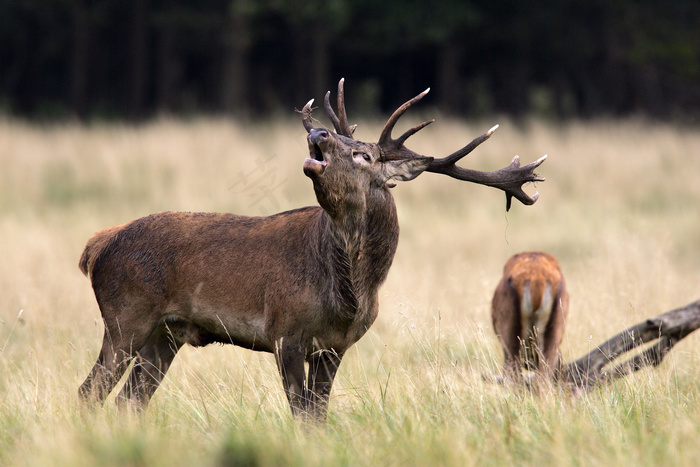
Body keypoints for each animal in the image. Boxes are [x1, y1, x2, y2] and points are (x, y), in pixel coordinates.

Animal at [78, 78, 548, 418]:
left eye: (363, 155)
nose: (320, 131)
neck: (350, 295)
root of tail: (97, 245)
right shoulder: (285, 330)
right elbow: (301, 413)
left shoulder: (335, 346)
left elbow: (318, 414)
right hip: (125, 317)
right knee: (90, 391)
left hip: (166, 334)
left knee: (128, 401)